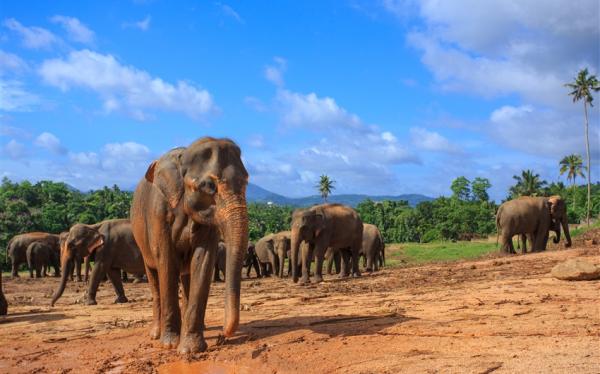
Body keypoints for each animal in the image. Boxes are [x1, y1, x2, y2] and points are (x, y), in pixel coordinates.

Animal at [130, 137, 250, 354]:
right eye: (209, 186)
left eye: (246, 181)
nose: (223, 335)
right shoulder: (158, 214)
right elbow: (166, 262)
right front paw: (169, 344)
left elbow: (203, 261)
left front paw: (191, 349)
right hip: (141, 240)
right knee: (154, 277)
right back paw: (156, 334)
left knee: (186, 277)